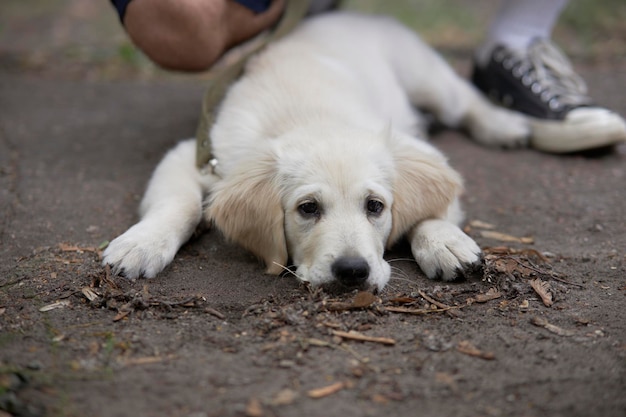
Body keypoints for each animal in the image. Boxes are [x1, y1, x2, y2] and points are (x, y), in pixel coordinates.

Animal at [102, 10, 528, 290]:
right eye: (308, 209)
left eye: (375, 206)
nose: (353, 271)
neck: (311, 117)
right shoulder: (200, 154)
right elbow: (180, 202)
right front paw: (141, 244)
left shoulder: (418, 149)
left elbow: (428, 211)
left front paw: (444, 242)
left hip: (426, 79)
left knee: (465, 97)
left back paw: (505, 125)